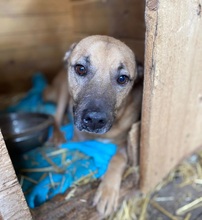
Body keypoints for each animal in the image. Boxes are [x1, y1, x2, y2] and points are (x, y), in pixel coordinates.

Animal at [43, 35, 143, 216]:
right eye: (81, 69)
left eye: (122, 78)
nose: (95, 120)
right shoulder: (79, 137)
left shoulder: (125, 143)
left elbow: (117, 158)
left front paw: (107, 191)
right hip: (63, 90)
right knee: (55, 116)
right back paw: (58, 134)